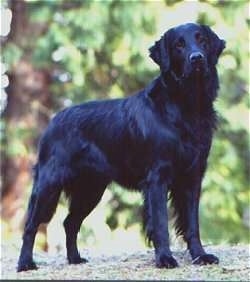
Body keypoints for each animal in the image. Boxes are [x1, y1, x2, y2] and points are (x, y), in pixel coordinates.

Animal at [17, 23, 225, 270]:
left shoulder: (193, 176)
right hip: (49, 184)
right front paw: (165, 258)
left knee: (70, 223)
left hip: (91, 189)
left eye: (202, 40)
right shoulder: (157, 177)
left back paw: (75, 258)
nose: (197, 58)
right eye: (179, 45)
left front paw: (200, 256)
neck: (185, 106)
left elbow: (192, 223)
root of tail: (53, 119)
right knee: (31, 225)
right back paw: (25, 263)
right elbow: (160, 223)